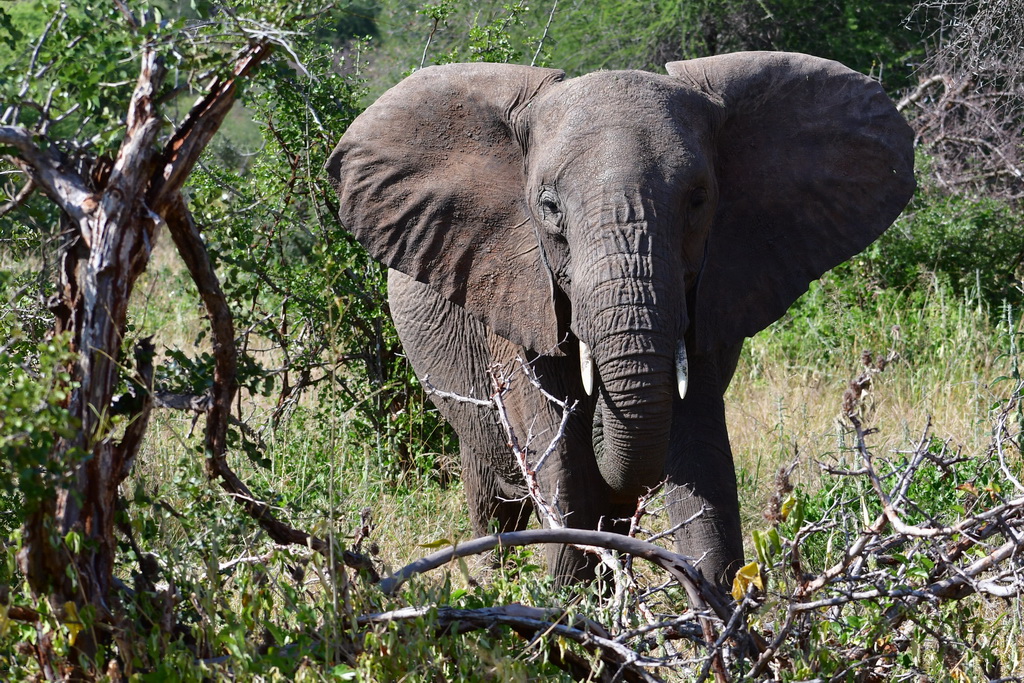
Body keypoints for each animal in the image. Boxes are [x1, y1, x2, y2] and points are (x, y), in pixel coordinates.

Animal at [323, 53, 917, 589]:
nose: (601, 415)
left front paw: (719, 605)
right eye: (549, 208)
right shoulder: (515, 289)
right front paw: (569, 608)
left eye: (698, 199)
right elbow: (558, 451)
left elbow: (698, 444)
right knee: (492, 491)